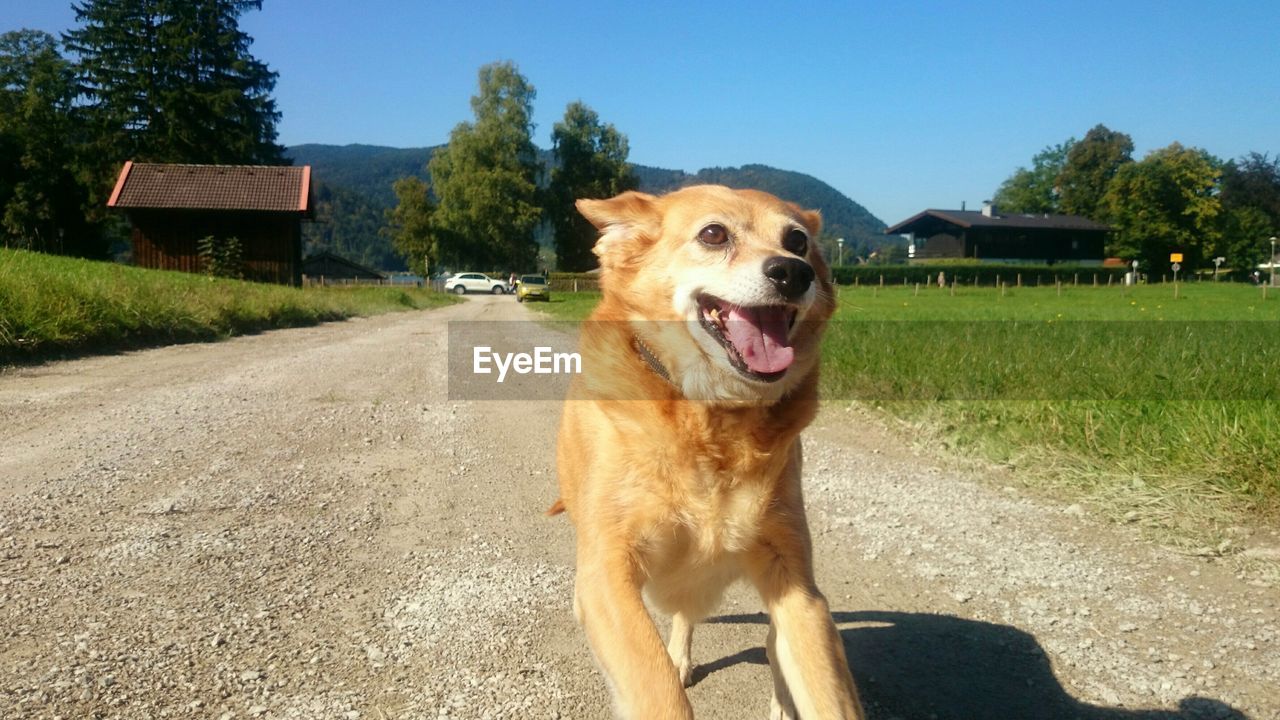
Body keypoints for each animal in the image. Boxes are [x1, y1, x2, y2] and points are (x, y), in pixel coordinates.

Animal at [550, 184, 860, 717]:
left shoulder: (797, 584)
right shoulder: (605, 576)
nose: (792, 272)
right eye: (714, 234)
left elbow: (826, 687)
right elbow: (654, 686)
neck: (713, 419)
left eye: (798, 241)